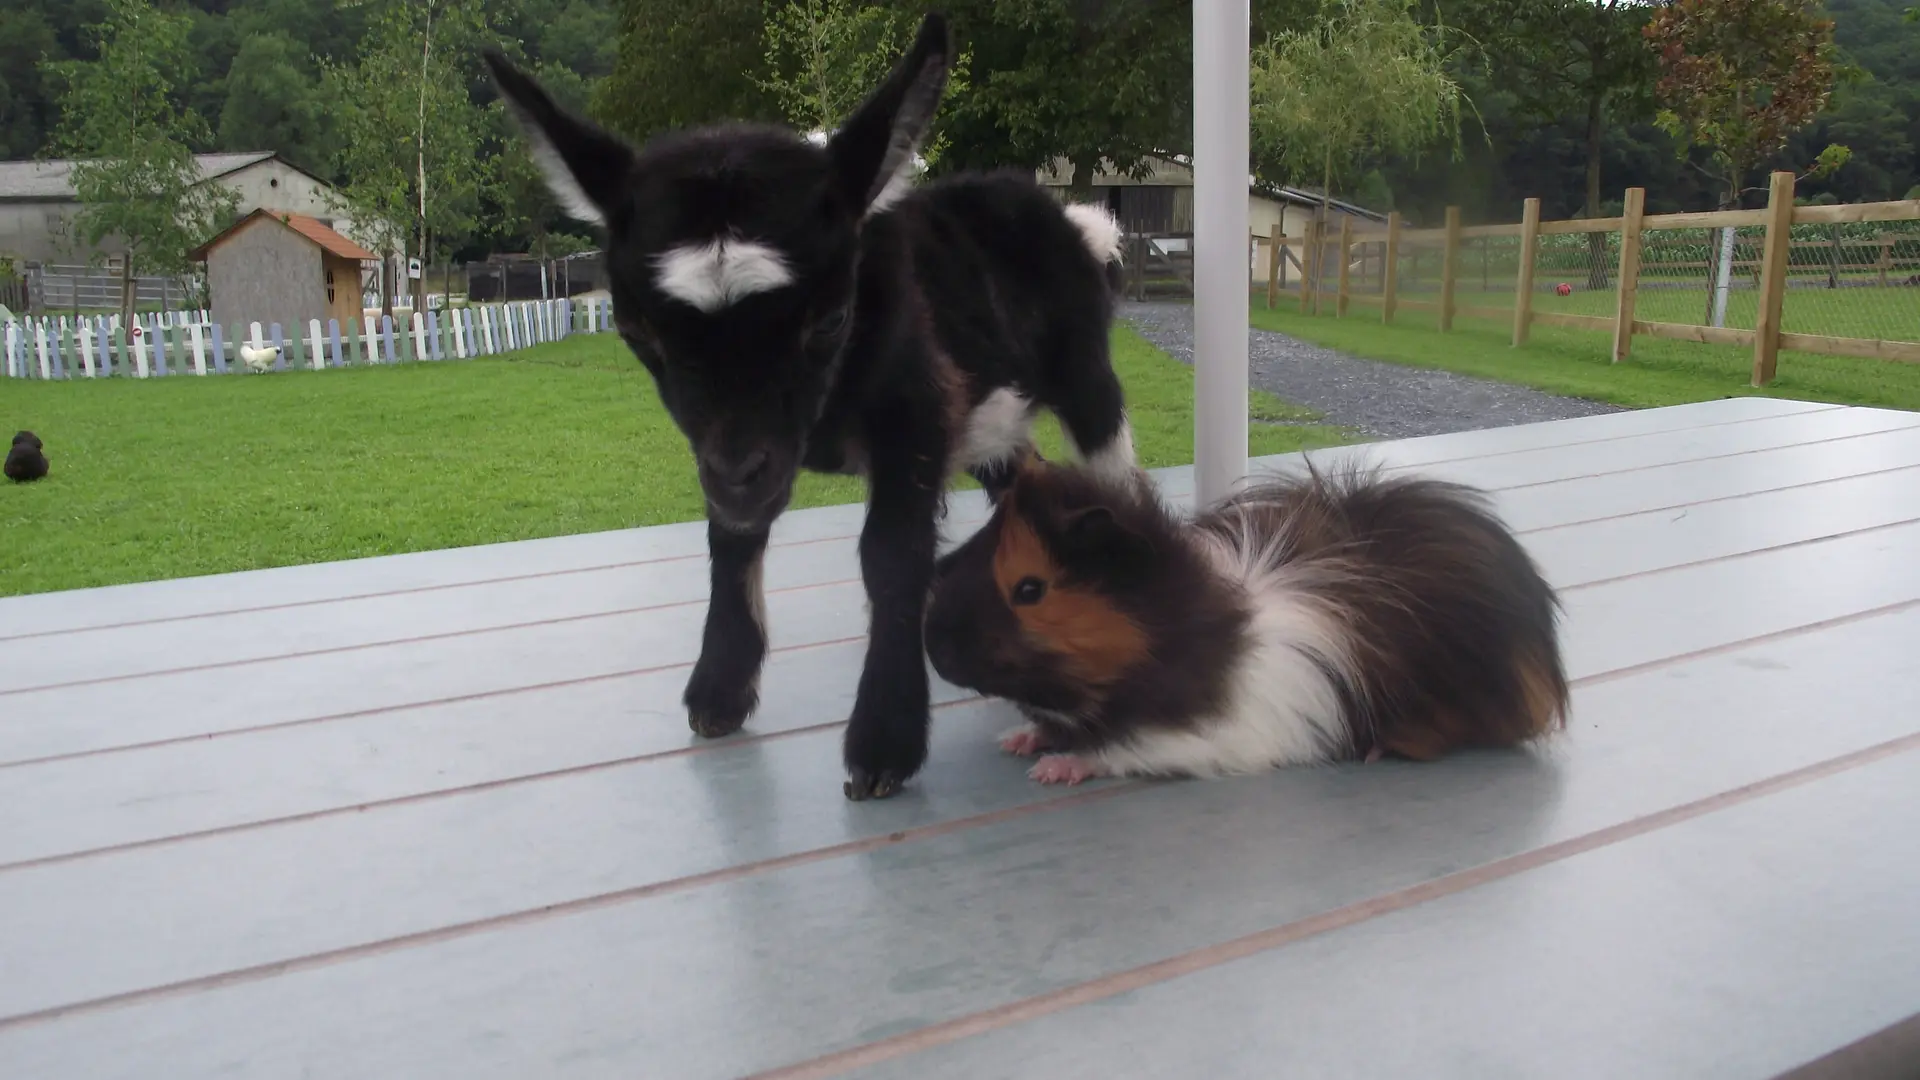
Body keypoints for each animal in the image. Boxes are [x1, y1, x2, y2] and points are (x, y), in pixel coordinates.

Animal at [487, 10, 1128, 799]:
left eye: (828, 321)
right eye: (639, 335)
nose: (739, 477)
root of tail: (1063, 214)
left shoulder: (915, 410)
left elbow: (889, 553)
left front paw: (883, 744)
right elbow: (730, 539)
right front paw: (719, 691)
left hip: (1083, 370)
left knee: (1109, 458)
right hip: (988, 417)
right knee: (1019, 469)